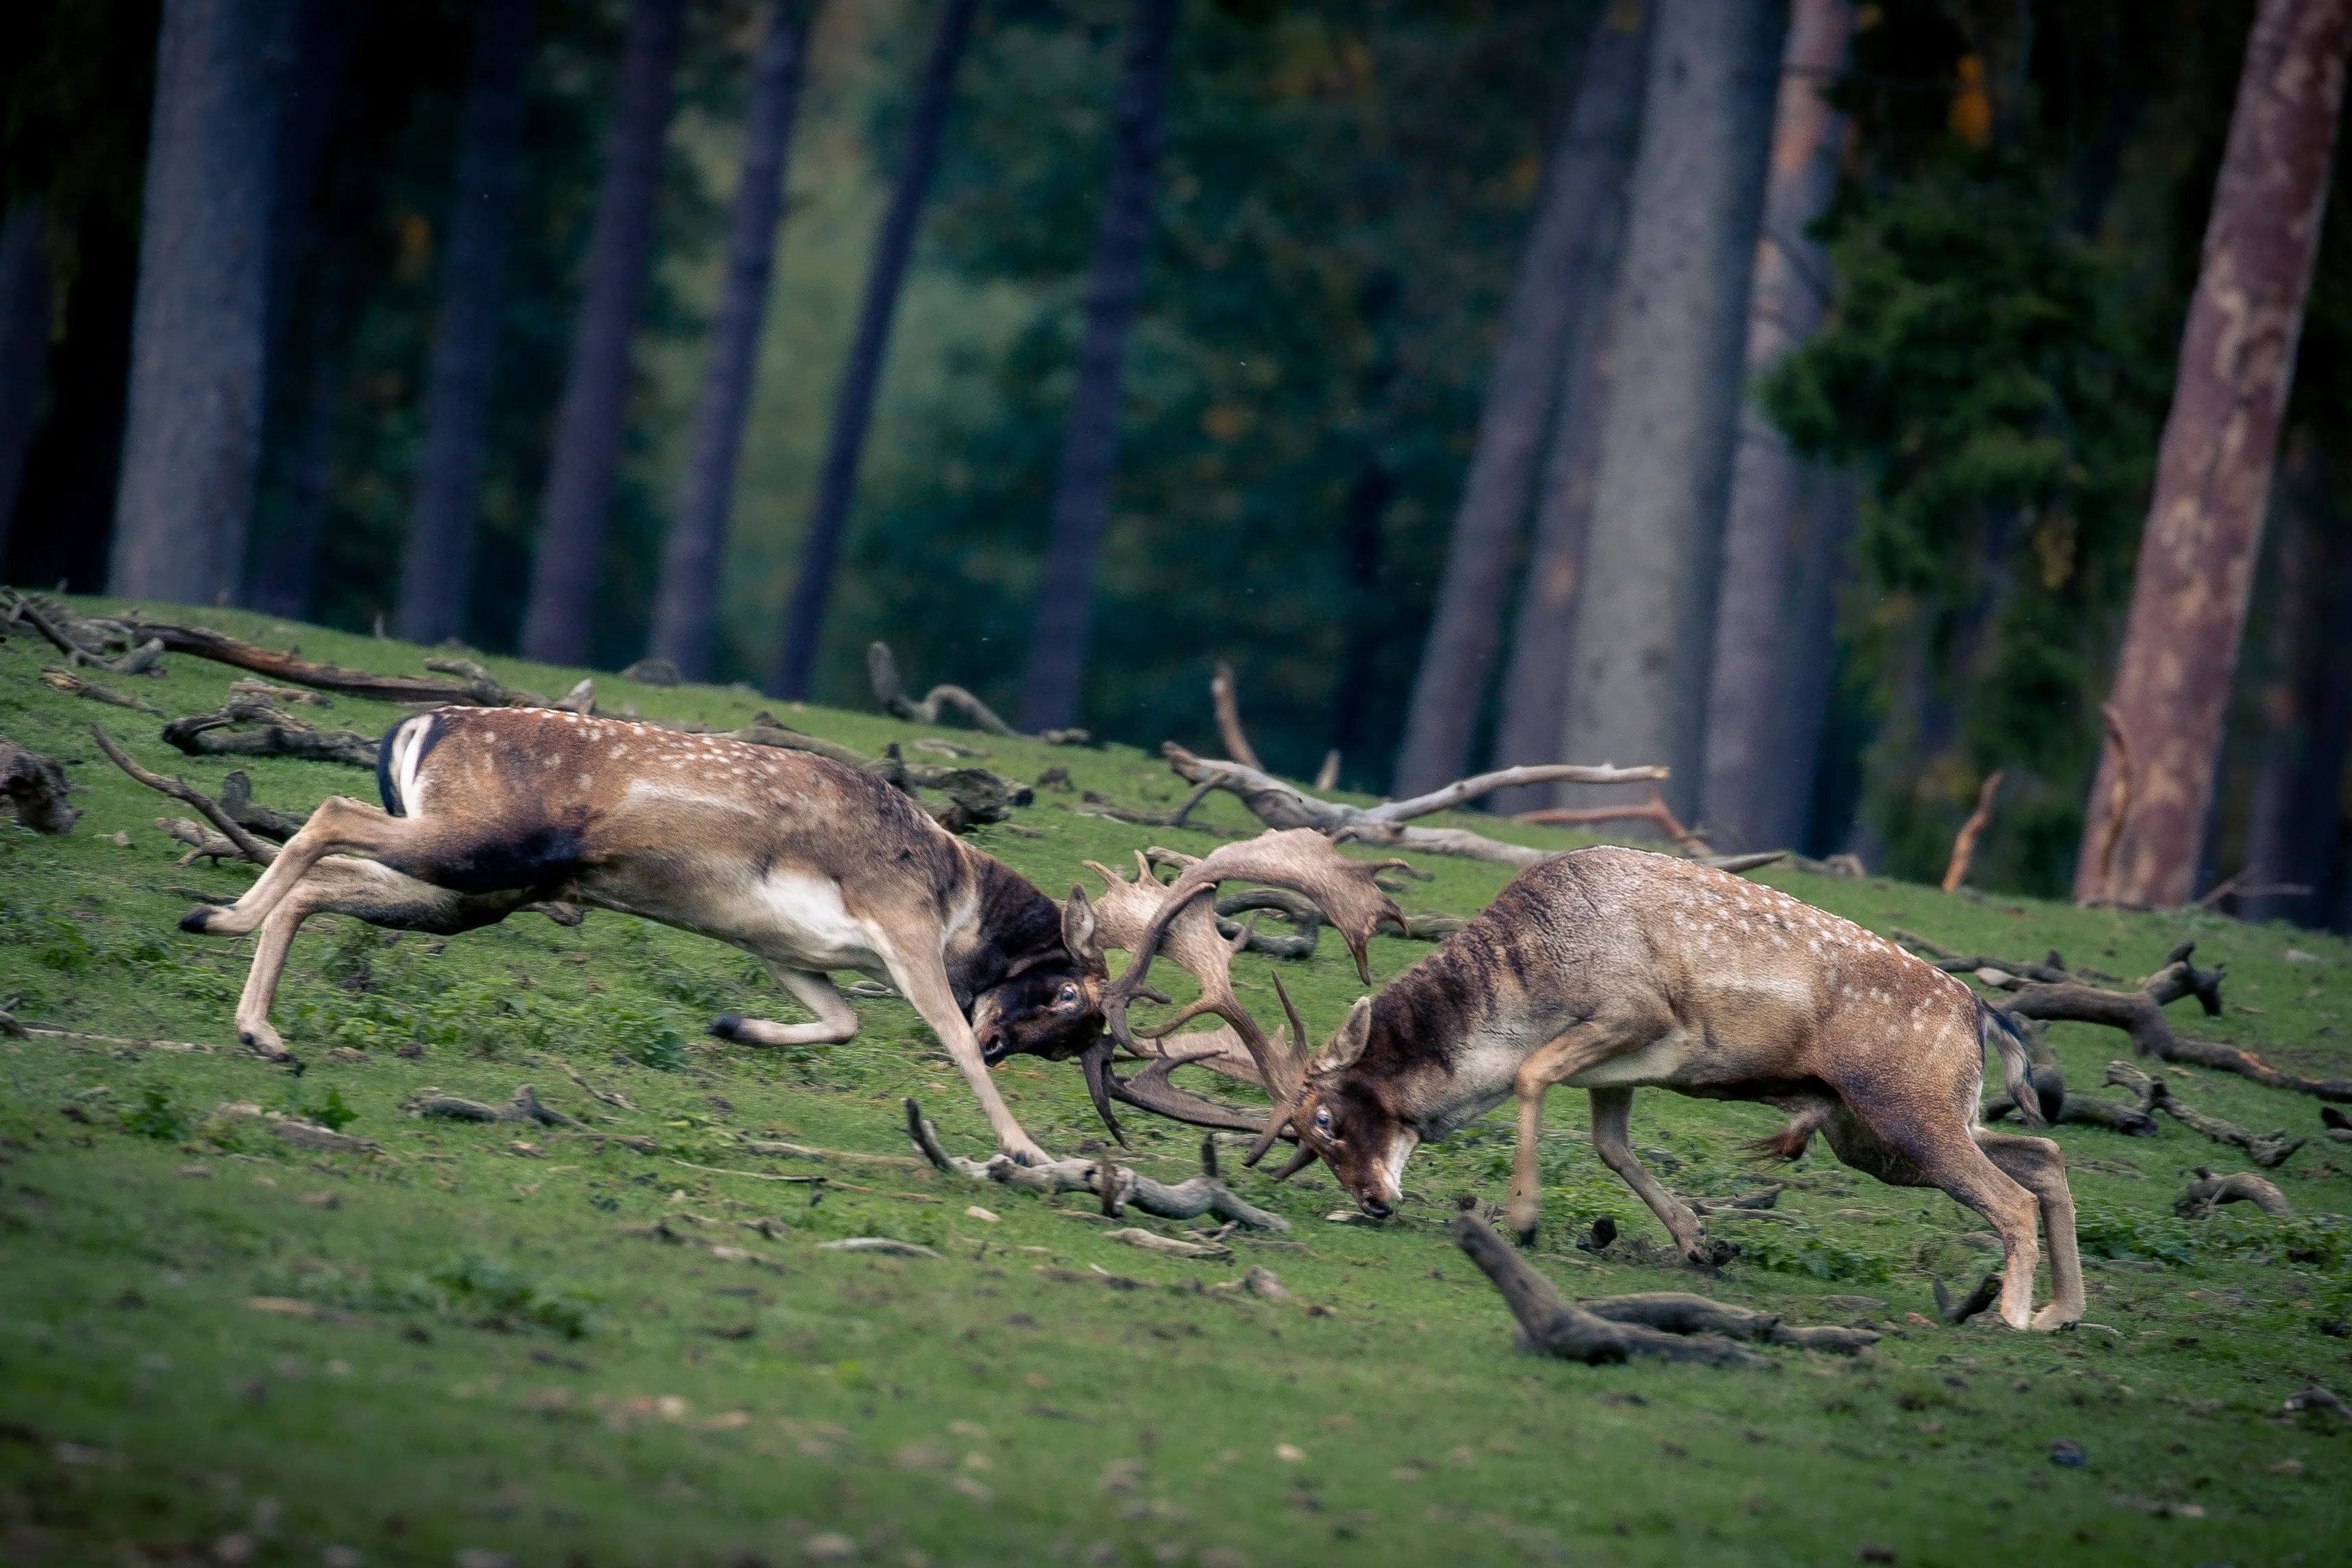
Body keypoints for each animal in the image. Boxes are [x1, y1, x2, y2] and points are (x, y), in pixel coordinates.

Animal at [175, 705, 1124, 1165]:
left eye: (1080, 1026)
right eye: (1067, 991)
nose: (1005, 1042)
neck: (958, 897)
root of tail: (420, 725)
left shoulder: (784, 950)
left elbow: (843, 1021)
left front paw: (734, 1027)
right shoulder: (901, 925)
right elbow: (943, 1041)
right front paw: (1027, 1150)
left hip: (478, 888)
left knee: (327, 877)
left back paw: (257, 1021)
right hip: (477, 845)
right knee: (331, 812)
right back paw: (220, 922)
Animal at [1105, 830, 2086, 1332]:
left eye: (1326, 1121)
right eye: (1312, 1142)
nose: (1376, 1203)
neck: (1533, 974)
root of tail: (1980, 1012)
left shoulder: (1634, 1014)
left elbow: (1536, 1075)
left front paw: (1523, 1218)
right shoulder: (1620, 1072)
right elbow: (1613, 1146)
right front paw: (1698, 1242)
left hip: (1903, 1109)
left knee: (2009, 1194)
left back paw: (2011, 1317)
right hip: (1873, 1132)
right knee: (2041, 1156)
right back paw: (2062, 1314)